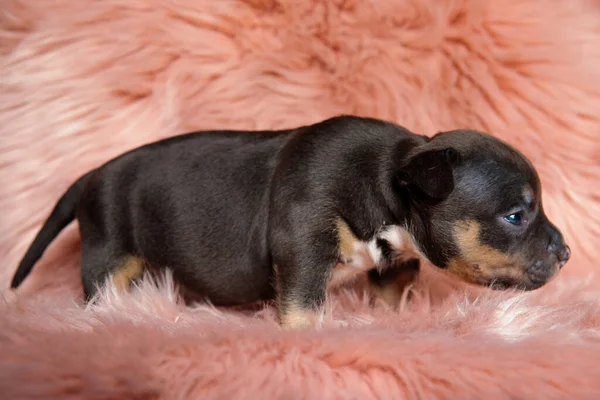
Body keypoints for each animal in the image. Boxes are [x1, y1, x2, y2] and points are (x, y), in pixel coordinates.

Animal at [11, 115, 568, 328]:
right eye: (516, 215)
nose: (565, 253)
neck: (391, 178)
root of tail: (91, 176)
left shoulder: (392, 262)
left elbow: (391, 295)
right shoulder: (303, 248)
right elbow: (303, 306)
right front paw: (308, 337)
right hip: (108, 253)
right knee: (102, 288)